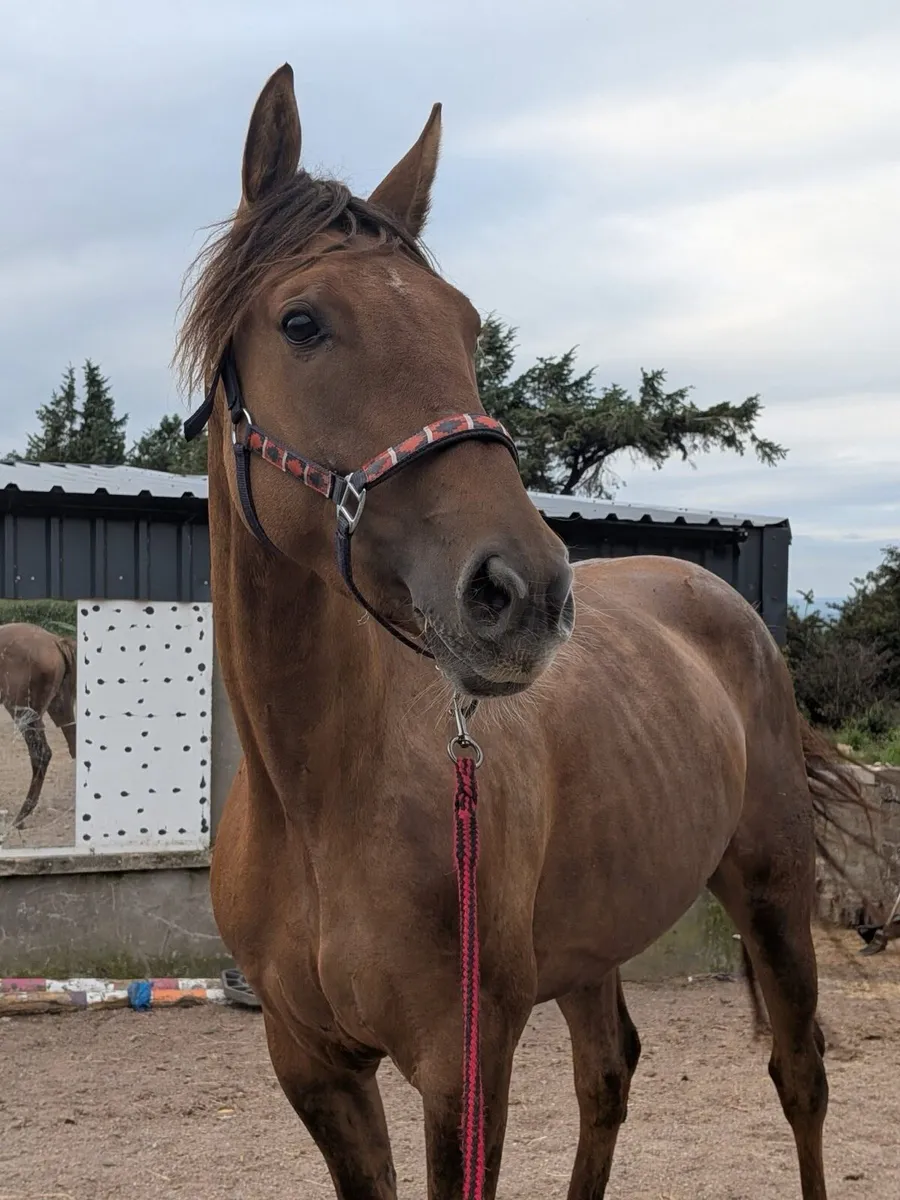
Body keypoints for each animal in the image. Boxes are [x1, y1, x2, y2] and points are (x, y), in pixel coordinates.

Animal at [175, 63, 862, 1199]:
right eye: (303, 322)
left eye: (464, 325)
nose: (524, 591)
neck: (322, 800)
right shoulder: (314, 1070)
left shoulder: (464, 1067)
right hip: (591, 945)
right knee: (609, 1075)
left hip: (773, 892)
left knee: (800, 1075)